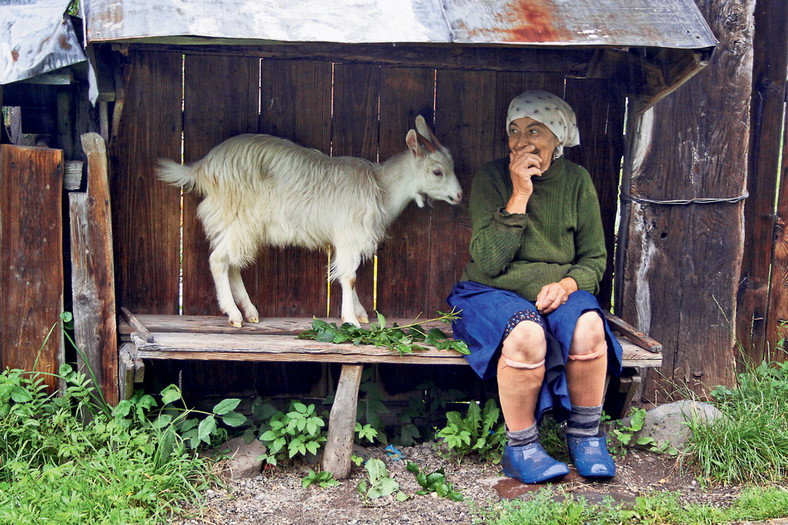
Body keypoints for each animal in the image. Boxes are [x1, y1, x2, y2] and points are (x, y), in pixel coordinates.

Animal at [157, 116, 462, 326]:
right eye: (437, 171)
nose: (459, 195)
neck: (381, 187)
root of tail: (202, 167)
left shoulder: (344, 239)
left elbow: (350, 275)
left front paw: (361, 313)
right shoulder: (350, 234)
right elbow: (349, 276)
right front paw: (351, 320)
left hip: (239, 224)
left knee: (232, 263)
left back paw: (250, 311)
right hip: (241, 218)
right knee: (219, 260)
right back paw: (234, 315)